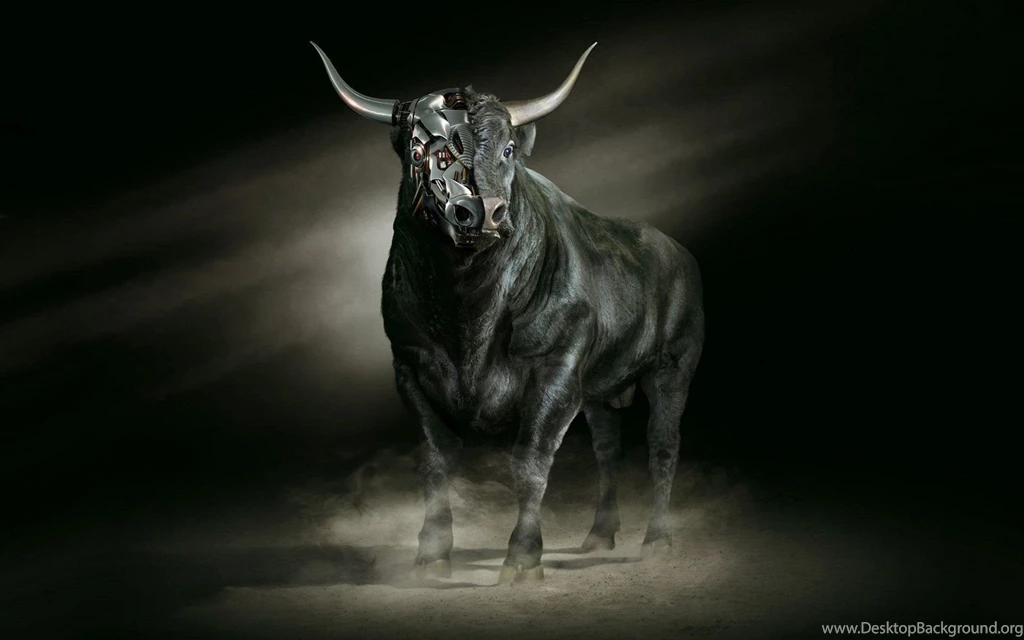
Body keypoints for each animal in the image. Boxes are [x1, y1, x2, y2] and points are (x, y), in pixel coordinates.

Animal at [311, 41, 705, 584]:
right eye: (421, 152)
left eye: (509, 150)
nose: (482, 212)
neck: (468, 311)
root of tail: (679, 253)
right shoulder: (409, 367)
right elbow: (434, 462)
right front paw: (431, 556)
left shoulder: (556, 370)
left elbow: (531, 461)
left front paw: (522, 558)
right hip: (600, 389)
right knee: (607, 450)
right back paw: (599, 534)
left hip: (673, 367)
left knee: (662, 446)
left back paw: (658, 540)